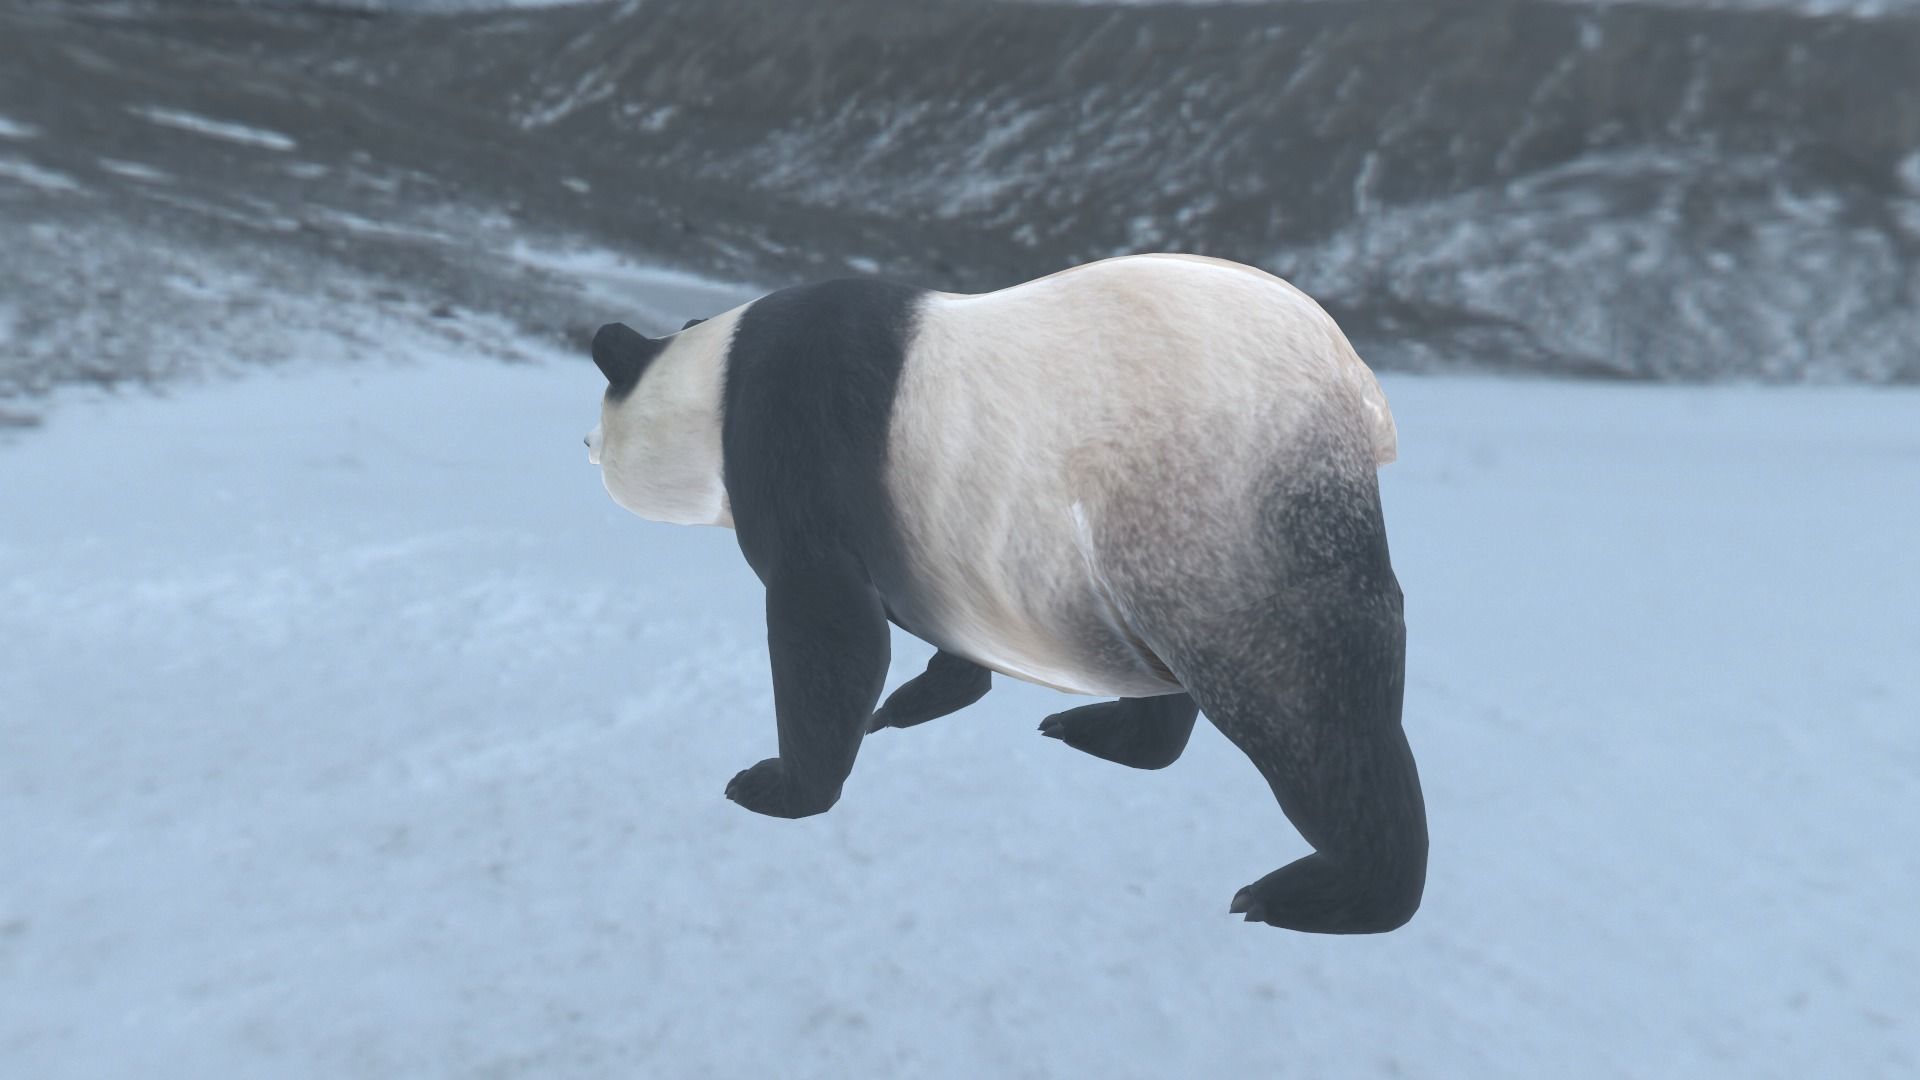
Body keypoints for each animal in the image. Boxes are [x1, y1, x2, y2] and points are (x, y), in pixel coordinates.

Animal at [585, 253, 1425, 934]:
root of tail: (1360, 389)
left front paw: (776, 785)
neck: (718, 374)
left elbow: (828, 632)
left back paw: (1319, 894)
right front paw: (919, 701)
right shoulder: (931, 547)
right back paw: (1105, 732)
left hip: (1220, 502)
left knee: (1302, 702)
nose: (586, 445)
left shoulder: (798, 442)